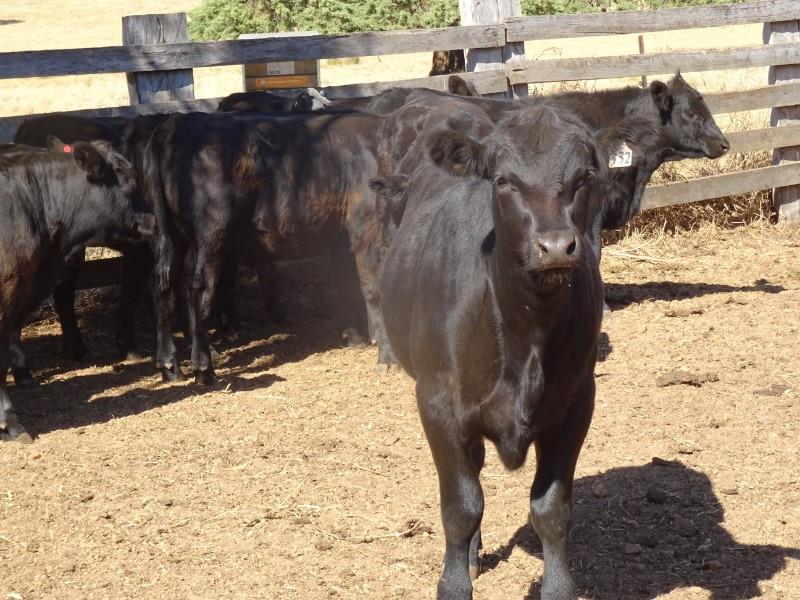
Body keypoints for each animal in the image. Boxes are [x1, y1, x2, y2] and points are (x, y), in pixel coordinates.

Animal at [147, 111, 384, 384]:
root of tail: (178, 121)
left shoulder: (339, 237)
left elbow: (346, 285)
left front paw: (354, 337)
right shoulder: (367, 228)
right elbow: (372, 286)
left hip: (173, 238)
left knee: (162, 287)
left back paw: (170, 366)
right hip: (212, 235)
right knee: (198, 291)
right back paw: (203, 368)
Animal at [378, 105, 608, 596]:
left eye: (584, 175)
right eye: (503, 180)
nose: (555, 247)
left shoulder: (577, 402)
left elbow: (552, 508)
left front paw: (558, 588)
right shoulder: (437, 403)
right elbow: (461, 505)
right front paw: (453, 583)